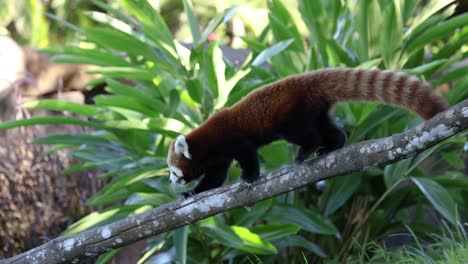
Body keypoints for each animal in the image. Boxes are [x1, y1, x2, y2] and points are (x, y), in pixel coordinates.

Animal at [166, 68, 448, 198]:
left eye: (173, 171)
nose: (170, 181)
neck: (205, 142)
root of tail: (307, 79)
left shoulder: (231, 139)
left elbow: (247, 155)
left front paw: (249, 177)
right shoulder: (218, 158)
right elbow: (214, 178)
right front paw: (191, 193)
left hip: (291, 115)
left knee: (304, 134)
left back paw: (307, 151)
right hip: (315, 109)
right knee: (329, 129)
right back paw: (332, 146)